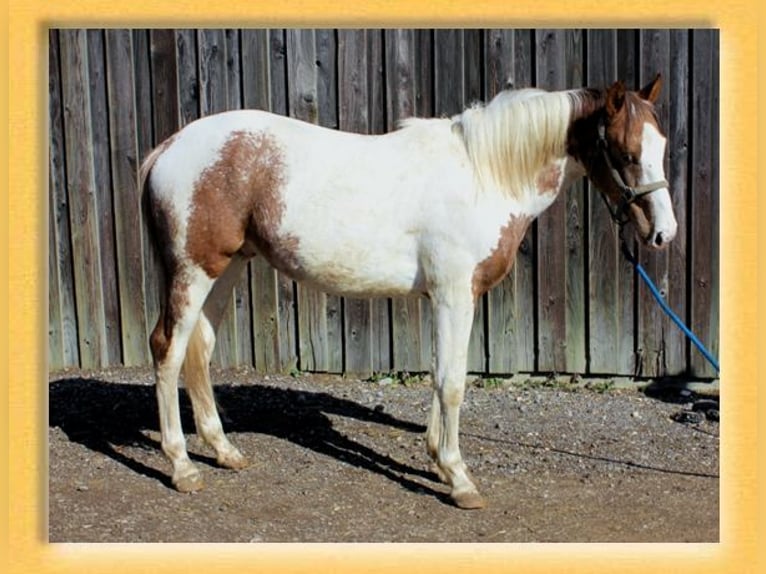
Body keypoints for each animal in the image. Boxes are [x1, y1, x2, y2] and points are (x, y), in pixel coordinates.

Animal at [142, 74, 680, 510]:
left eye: (662, 147)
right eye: (626, 153)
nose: (664, 234)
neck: (484, 176)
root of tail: (166, 148)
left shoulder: (448, 298)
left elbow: (441, 376)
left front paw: (438, 462)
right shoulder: (453, 295)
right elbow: (453, 383)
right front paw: (460, 480)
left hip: (227, 267)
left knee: (199, 350)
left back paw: (224, 451)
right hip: (193, 270)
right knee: (168, 350)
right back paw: (182, 467)